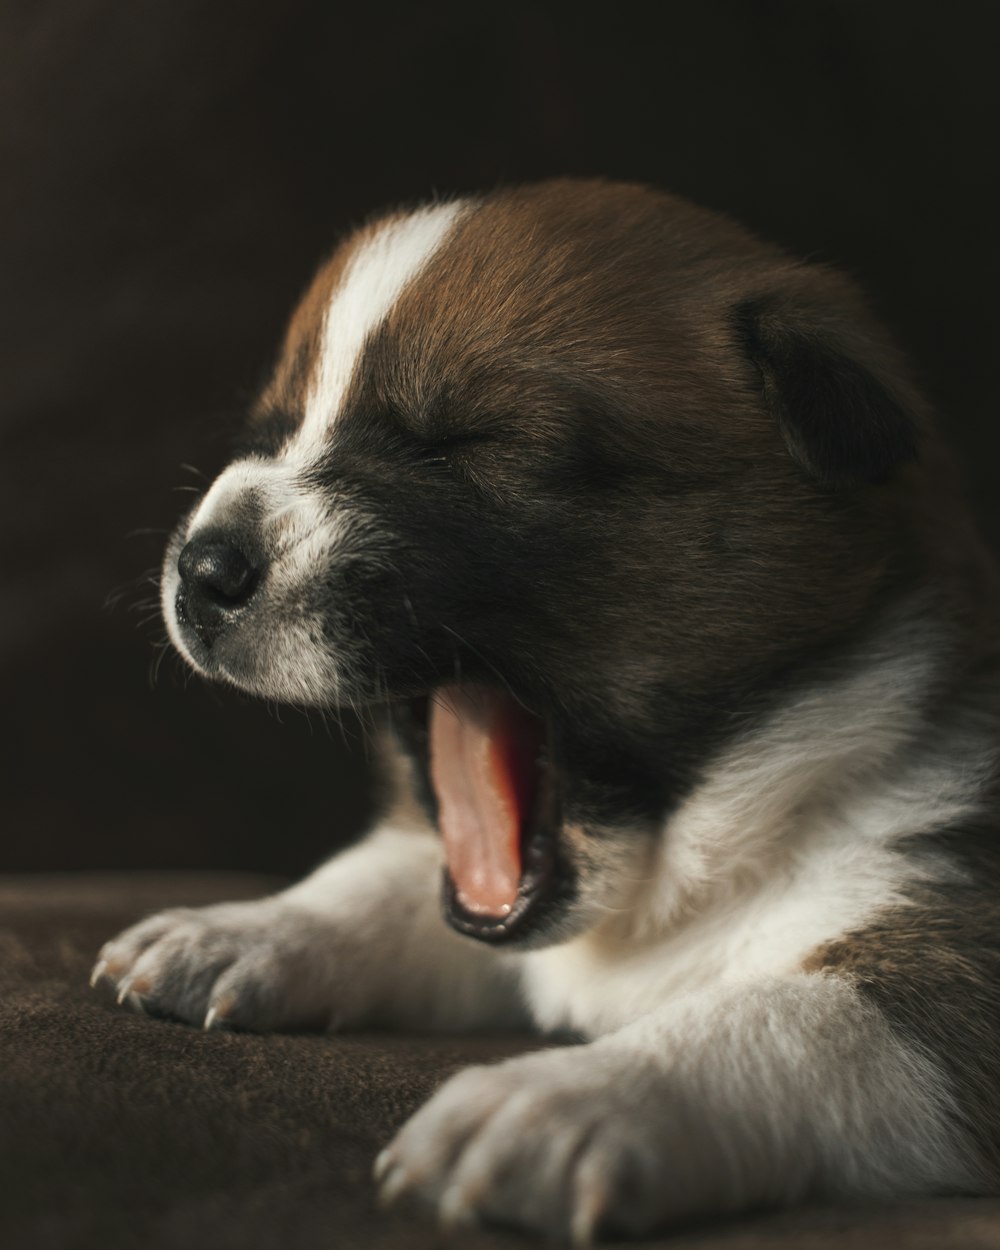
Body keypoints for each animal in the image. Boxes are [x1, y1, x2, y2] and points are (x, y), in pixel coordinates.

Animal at [91, 182, 1000, 1240]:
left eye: (465, 445)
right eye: (273, 430)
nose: (202, 569)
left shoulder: (959, 948)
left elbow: (790, 1023)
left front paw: (564, 1102)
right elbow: (384, 877)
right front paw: (240, 930)